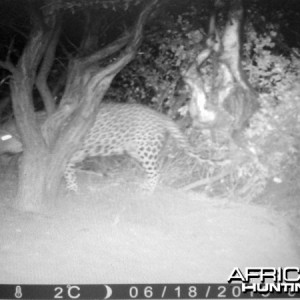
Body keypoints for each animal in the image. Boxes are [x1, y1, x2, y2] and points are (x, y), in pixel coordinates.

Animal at [0, 103, 213, 192]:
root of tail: (160, 115)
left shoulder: (67, 152)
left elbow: (68, 172)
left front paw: (72, 188)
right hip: (136, 150)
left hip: (145, 150)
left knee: (156, 171)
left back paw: (147, 189)